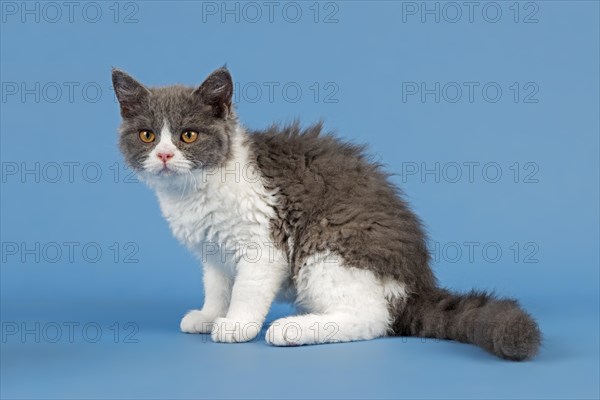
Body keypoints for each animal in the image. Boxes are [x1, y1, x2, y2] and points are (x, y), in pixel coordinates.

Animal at [110, 65, 540, 360]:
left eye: (188, 135)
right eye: (148, 135)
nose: (165, 156)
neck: (195, 191)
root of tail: (417, 283)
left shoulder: (263, 242)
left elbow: (246, 289)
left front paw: (236, 324)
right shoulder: (213, 248)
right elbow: (217, 284)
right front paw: (209, 314)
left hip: (327, 248)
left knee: (372, 319)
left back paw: (290, 329)